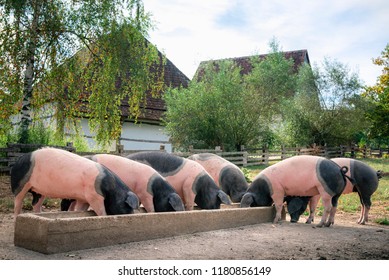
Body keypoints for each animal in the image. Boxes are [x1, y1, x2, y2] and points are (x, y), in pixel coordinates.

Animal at [10, 148, 139, 218]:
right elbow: (101, 211)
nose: (132, 214)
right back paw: (16, 217)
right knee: (17, 202)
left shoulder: (84, 198)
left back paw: (40, 214)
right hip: (19, 185)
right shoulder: (94, 196)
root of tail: (18, 160)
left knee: (35, 204)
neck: (110, 189)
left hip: (39, 191)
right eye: (126, 205)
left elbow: (80, 210)